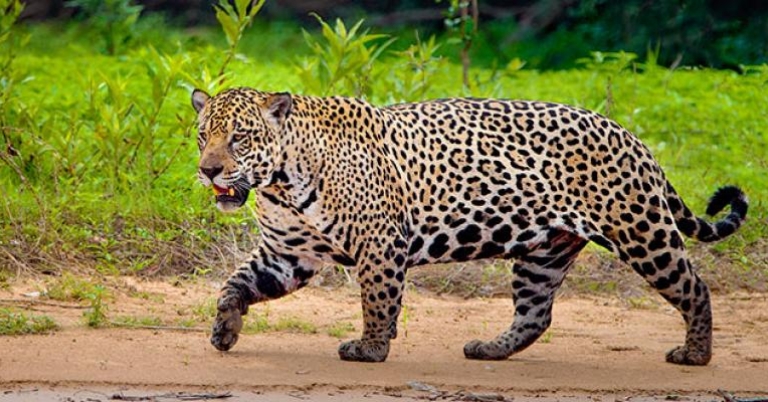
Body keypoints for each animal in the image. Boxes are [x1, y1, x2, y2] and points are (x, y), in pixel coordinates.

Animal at [191, 87, 747, 365]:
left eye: (239, 137)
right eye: (202, 136)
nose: (208, 169)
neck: (281, 181)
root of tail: (630, 136)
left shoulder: (380, 242)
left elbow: (377, 299)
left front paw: (372, 349)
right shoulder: (289, 254)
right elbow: (234, 284)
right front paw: (224, 331)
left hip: (641, 231)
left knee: (694, 287)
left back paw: (695, 354)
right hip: (543, 253)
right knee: (536, 313)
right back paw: (490, 350)